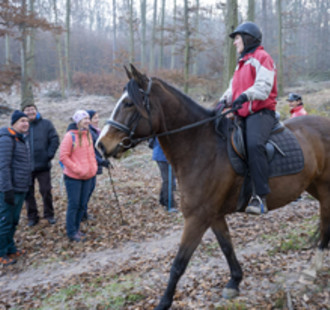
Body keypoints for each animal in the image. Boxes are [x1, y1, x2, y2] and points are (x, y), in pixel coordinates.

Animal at [96, 64, 330, 308]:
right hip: (314, 186)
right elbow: (226, 247)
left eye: (129, 103)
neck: (200, 146)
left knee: (325, 227)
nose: (101, 145)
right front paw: (234, 281)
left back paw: (312, 271)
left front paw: (164, 302)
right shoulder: (213, 215)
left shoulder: (197, 218)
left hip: (326, 190)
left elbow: (179, 264)